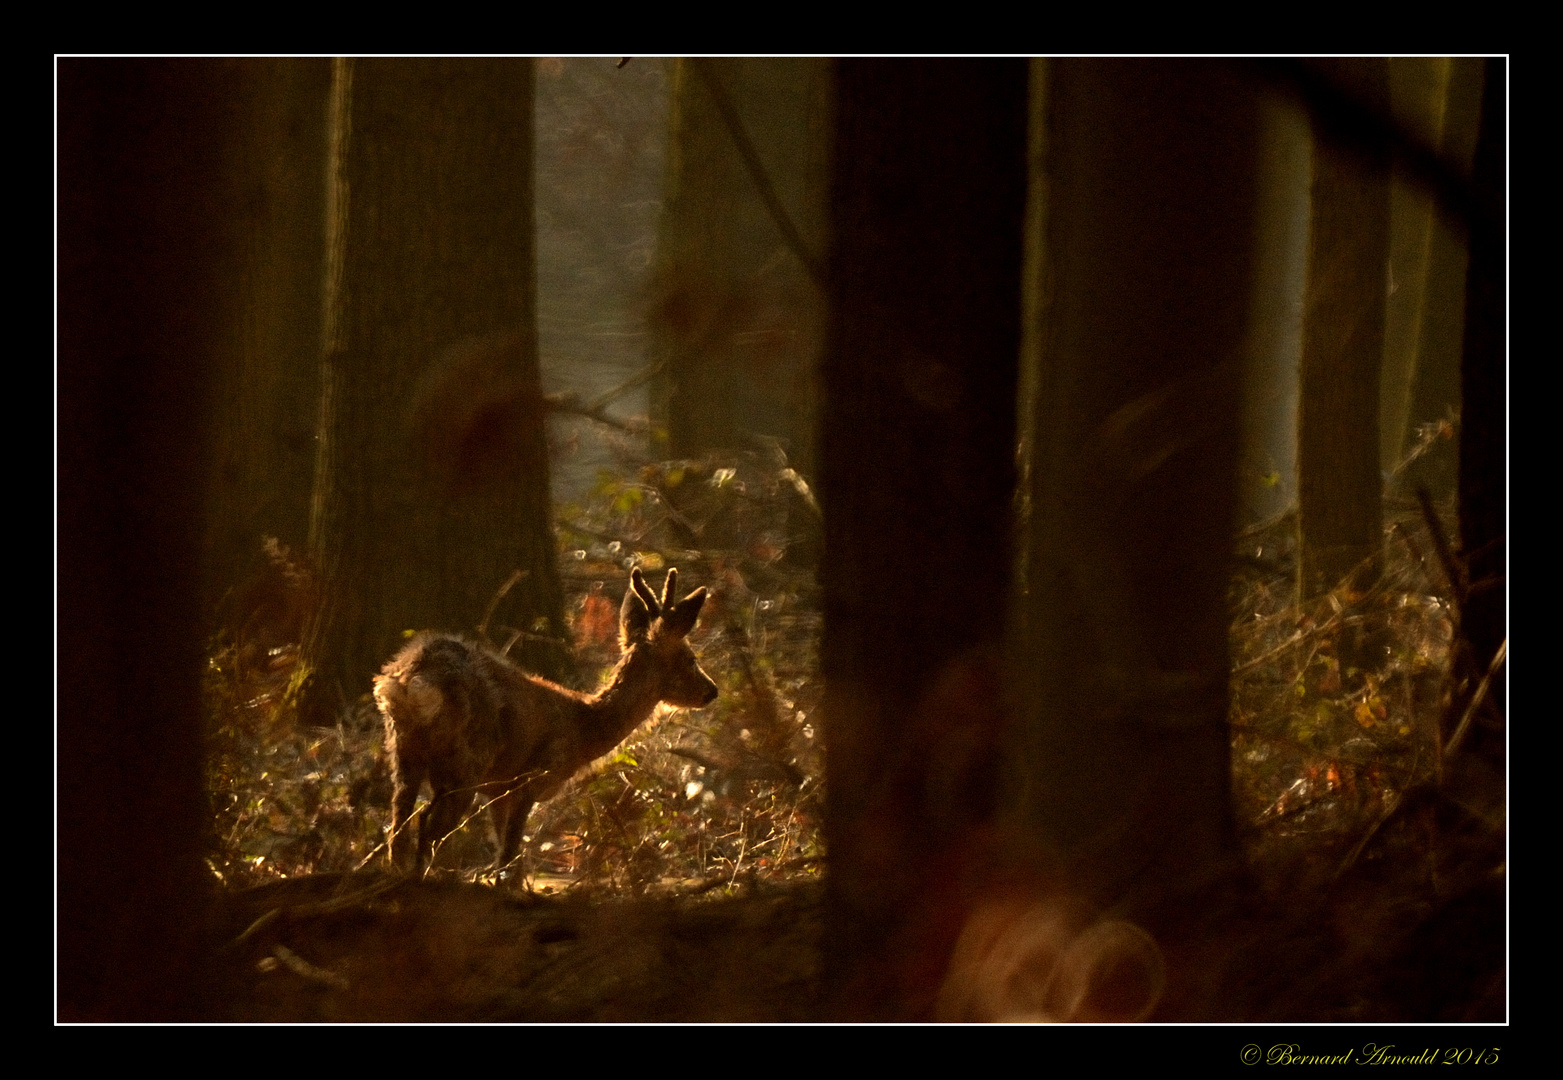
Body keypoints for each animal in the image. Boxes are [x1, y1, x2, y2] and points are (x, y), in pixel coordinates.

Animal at [371, 568, 718, 875]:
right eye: (689, 659)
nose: (711, 691)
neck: (583, 730)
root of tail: (413, 678)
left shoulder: (498, 789)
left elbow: (506, 856)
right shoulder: (534, 776)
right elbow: (509, 859)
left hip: (404, 752)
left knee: (397, 829)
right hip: (466, 761)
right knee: (428, 829)